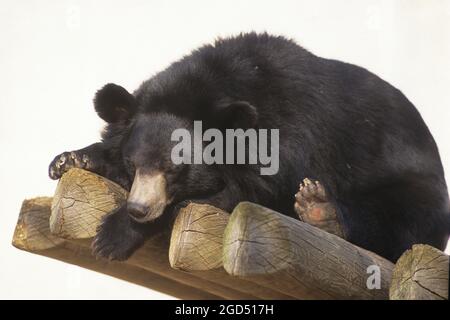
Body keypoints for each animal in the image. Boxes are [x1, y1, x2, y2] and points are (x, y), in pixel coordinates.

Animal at [47, 33, 448, 262]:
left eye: (175, 170)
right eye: (134, 165)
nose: (138, 209)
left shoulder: (288, 141)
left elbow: (242, 193)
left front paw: (112, 237)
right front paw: (68, 160)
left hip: (415, 193)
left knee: (394, 219)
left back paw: (320, 210)